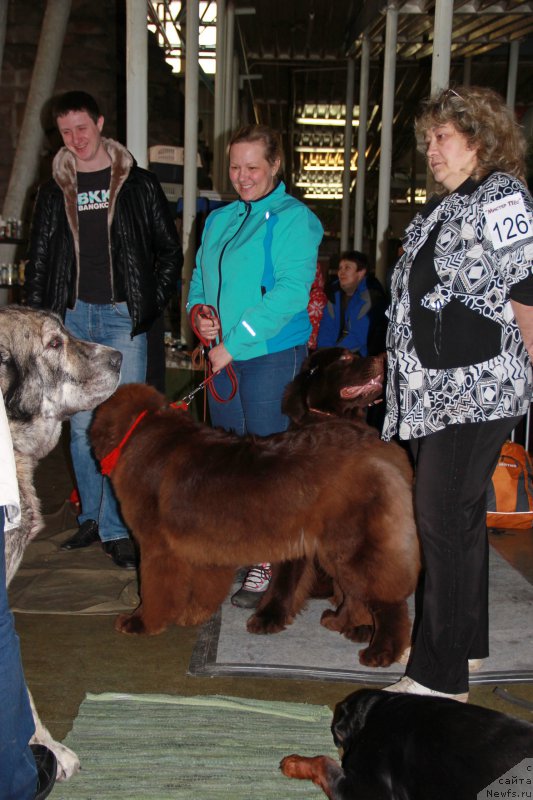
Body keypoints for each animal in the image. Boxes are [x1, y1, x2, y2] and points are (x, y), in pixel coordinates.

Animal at [89, 350, 418, 668]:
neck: (138, 431)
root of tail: (383, 446)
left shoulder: (157, 545)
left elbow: (156, 588)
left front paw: (141, 622)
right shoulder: (205, 544)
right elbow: (206, 584)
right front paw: (194, 614)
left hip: (354, 544)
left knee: (387, 601)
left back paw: (381, 651)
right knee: (353, 593)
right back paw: (339, 621)